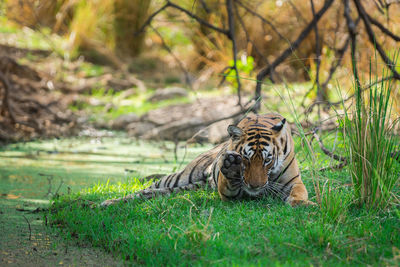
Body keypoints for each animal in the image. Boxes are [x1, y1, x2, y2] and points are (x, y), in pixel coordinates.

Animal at [101, 113, 312, 207]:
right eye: (245, 158)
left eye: (267, 160)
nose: (255, 186)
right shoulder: (230, 193)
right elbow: (229, 185)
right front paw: (230, 166)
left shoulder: (294, 181)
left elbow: (300, 193)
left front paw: (301, 203)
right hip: (178, 177)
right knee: (144, 189)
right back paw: (104, 203)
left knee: (149, 193)